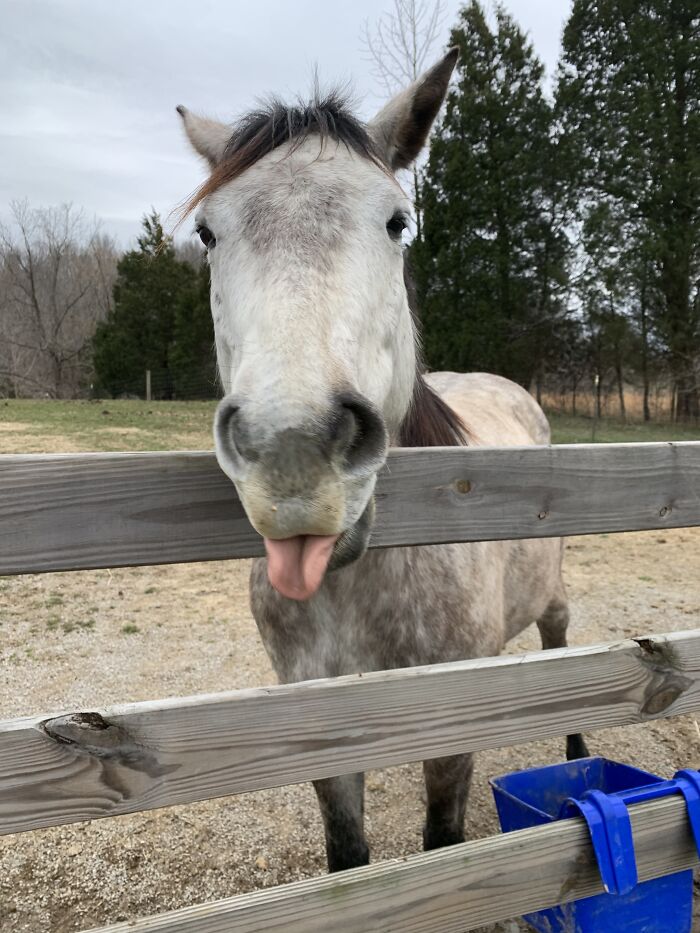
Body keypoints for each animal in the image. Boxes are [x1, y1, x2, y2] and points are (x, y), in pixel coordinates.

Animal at [177, 49, 587, 873]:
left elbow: (442, 841)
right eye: (207, 233)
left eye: (396, 221)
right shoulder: (322, 723)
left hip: (553, 598)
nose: (294, 447)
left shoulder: (448, 730)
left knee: (562, 650)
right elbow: (349, 858)